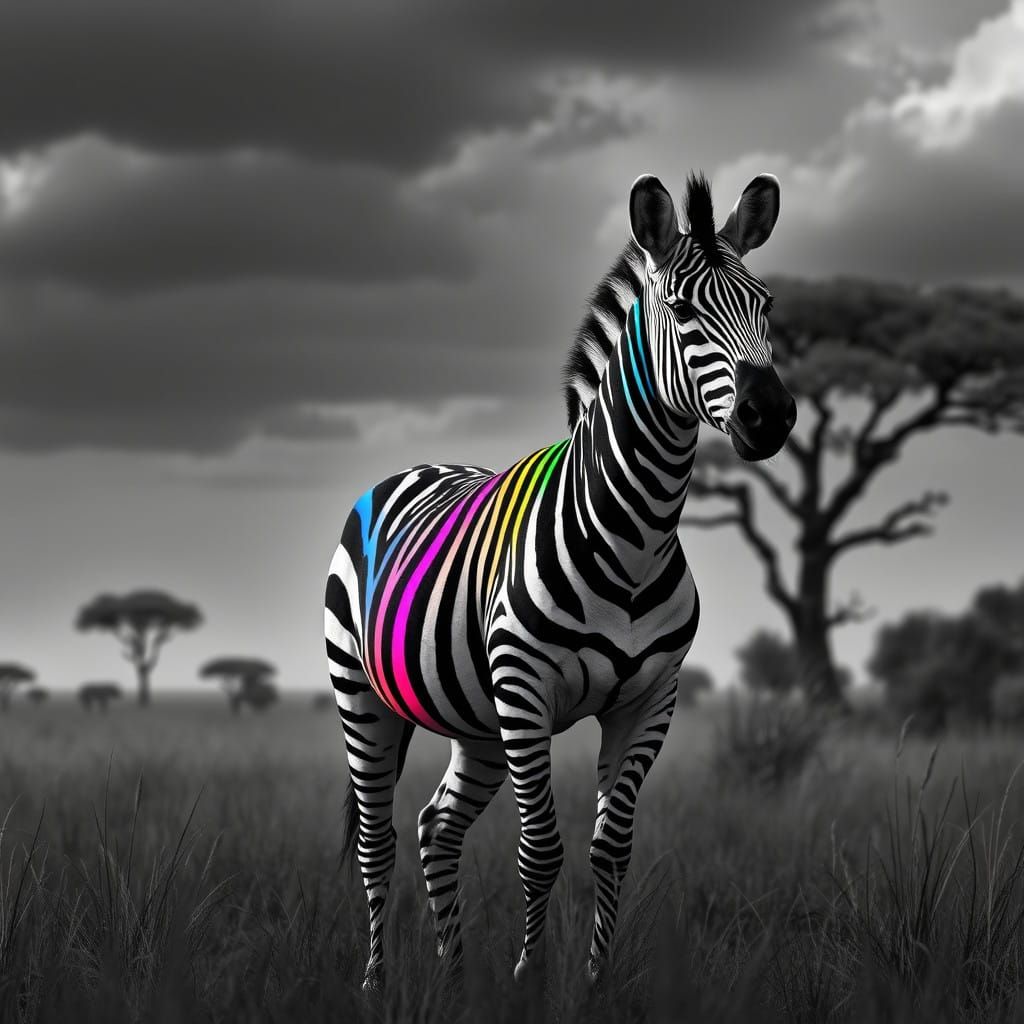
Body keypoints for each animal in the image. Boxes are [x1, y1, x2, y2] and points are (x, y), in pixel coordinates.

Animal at [325, 170, 795, 990]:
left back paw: (454, 977)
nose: (771, 416)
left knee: (435, 826)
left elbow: (612, 849)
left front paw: (593, 982)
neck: (637, 534)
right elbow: (540, 850)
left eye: (765, 304)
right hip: (364, 695)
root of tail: (409, 467)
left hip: (478, 723)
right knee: (377, 838)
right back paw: (378, 982)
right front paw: (528, 983)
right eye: (682, 311)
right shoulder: (525, 687)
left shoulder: (651, 698)